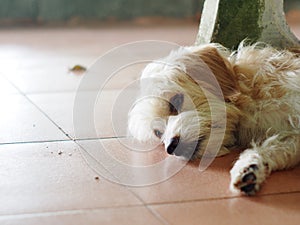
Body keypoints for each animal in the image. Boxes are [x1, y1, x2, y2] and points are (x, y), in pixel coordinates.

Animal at [127, 42, 300, 195]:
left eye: (175, 101)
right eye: (158, 132)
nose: (171, 148)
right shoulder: (291, 138)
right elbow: (271, 148)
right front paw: (250, 168)